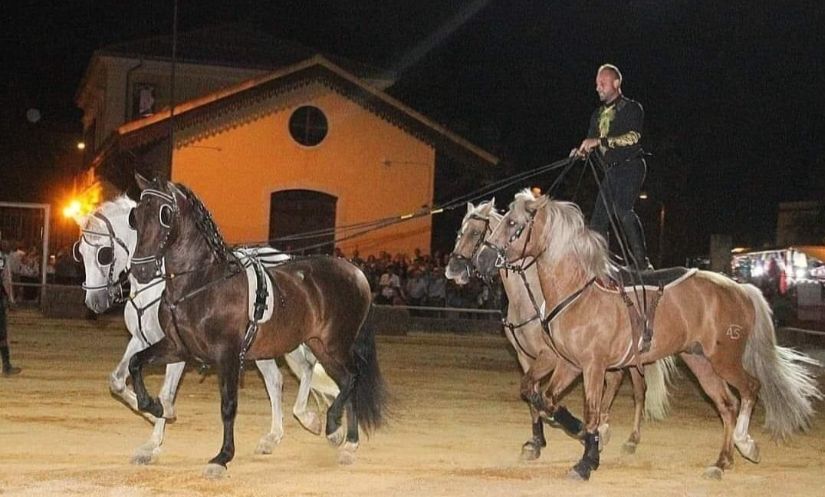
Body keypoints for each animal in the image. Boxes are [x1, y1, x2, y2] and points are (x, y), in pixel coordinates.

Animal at [73, 193, 338, 462]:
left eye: (104, 254)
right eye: (80, 253)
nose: (94, 302)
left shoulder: (177, 349)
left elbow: (166, 393)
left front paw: (153, 440)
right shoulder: (140, 339)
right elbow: (117, 380)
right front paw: (152, 412)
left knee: (305, 367)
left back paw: (312, 421)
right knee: (276, 380)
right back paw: (273, 437)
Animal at [128, 175, 386, 476]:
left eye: (164, 215)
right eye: (136, 216)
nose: (141, 270)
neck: (201, 282)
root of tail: (357, 273)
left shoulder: (226, 354)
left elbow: (228, 405)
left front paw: (222, 458)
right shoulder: (178, 347)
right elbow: (136, 362)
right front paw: (155, 408)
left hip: (336, 343)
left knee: (354, 377)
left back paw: (337, 428)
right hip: (320, 345)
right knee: (345, 380)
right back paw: (346, 442)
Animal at [444, 198, 676, 458]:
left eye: (475, 232)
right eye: (460, 232)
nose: (452, 269)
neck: (533, 298)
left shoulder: (551, 357)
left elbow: (538, 394)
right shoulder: (525, 357)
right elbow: (531, 394)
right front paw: (537, 441)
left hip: (634, 360)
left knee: (638, 391)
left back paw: (630, 438)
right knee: (614, 381)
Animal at [474, 190, 820, 480]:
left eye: (513, 224)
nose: (482, 260)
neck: (579, 293)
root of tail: (740, 288)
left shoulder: (592, 367)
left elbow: (590, 410)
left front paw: (587, 460)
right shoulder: (568, 363)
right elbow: (544, 397)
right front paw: (581, 435)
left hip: (724, 358)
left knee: (750, 389)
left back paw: (745, 443)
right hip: (698, 361)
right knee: (727, 405)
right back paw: (721, 463)